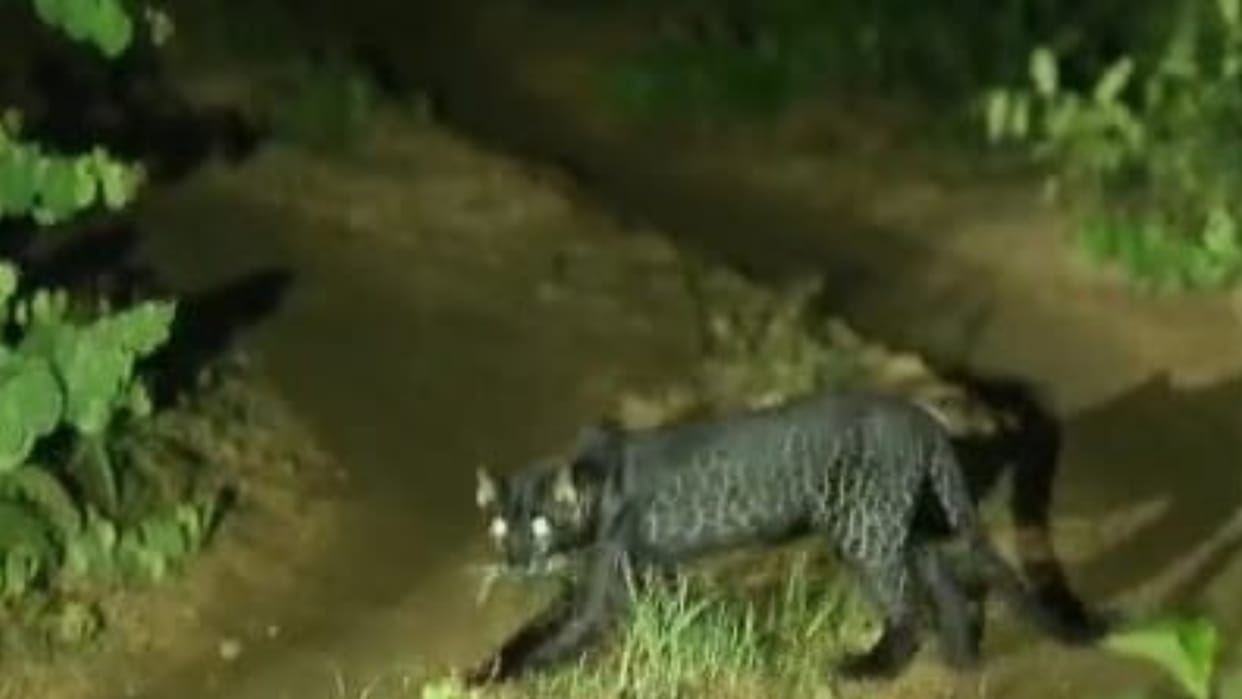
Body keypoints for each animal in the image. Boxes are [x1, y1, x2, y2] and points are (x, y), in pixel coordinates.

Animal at [470, 388, 1107, 684]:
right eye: (502, 526)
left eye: (540, 523)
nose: (517, 559)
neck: (593, 491)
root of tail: (925, 421)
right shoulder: (631, 575)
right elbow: (541, 628)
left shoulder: (603, 588)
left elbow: (557, 636)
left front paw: (490, 680)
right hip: (903, 528)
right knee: (946, 589)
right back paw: (961, 659)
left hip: (865, 533)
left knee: (908, 610)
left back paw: (864, 670)